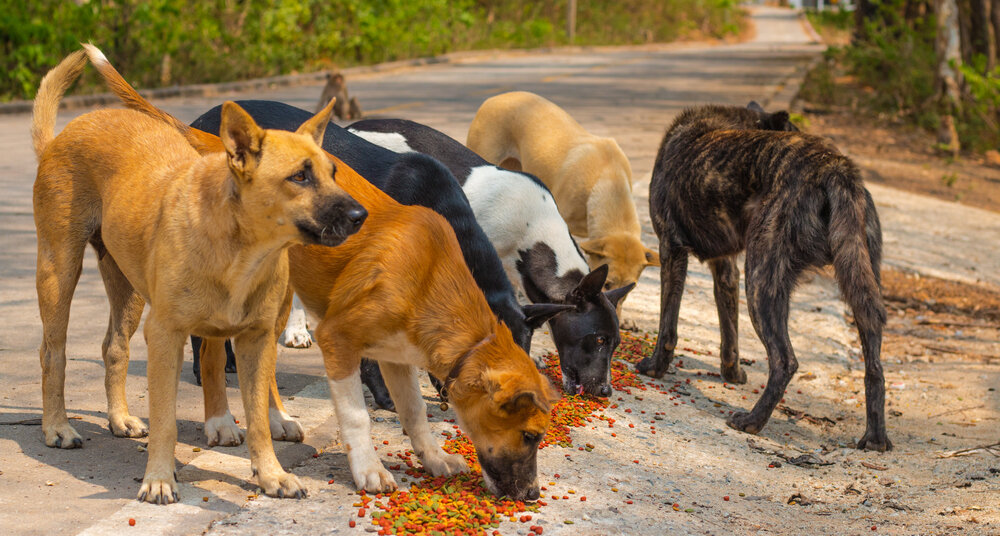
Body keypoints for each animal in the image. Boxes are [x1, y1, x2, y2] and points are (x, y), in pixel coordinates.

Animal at [640, 102, 892, 450]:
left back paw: (752, 421)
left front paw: (654, 368)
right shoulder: (725, 267)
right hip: (861, 287)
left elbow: (668, 325)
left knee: (785, 360)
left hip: (761, 281)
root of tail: (834, 167)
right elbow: (729, 333)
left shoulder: (671, 249)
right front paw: (732, 374)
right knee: (874, 367)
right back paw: (875, 437)